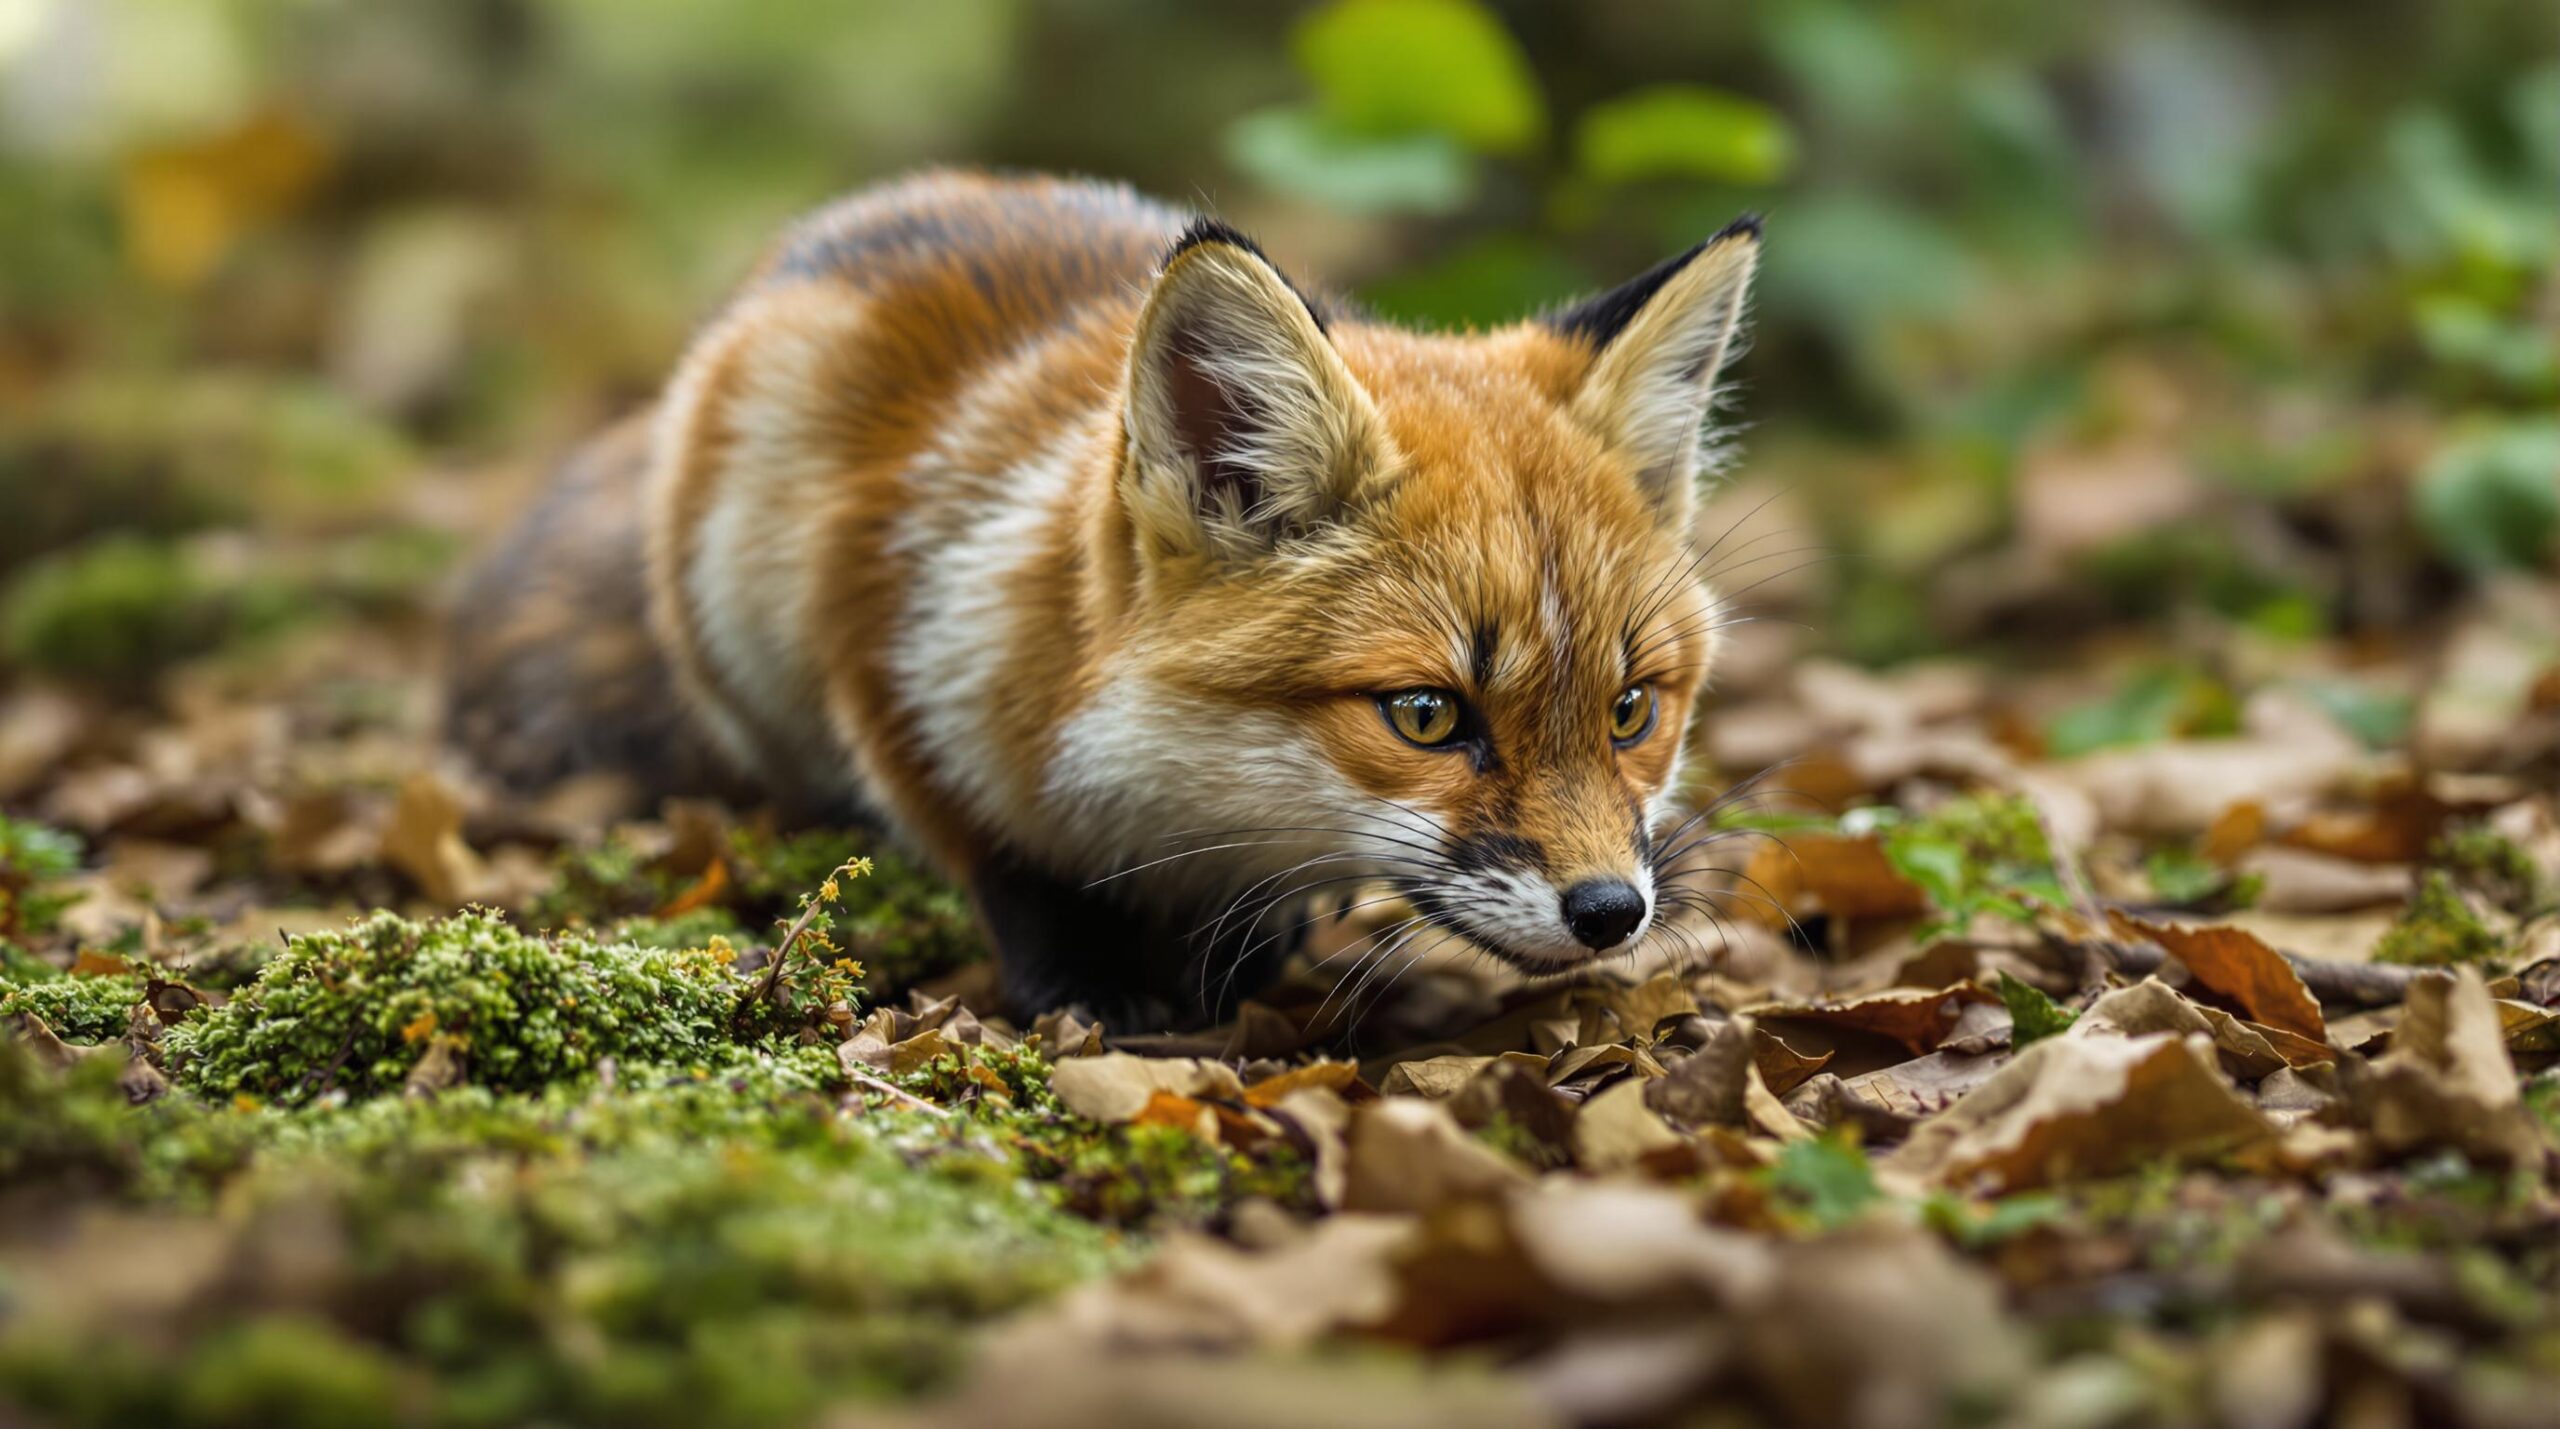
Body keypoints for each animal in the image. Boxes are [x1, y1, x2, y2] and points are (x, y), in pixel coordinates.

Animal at [448, 169, 1760, 1028]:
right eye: (1428, 715)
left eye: (1633, 710)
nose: (1611, 911)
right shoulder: (880, 654)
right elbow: (1010, 868)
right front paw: (1092, 988)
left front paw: (1242, 950)